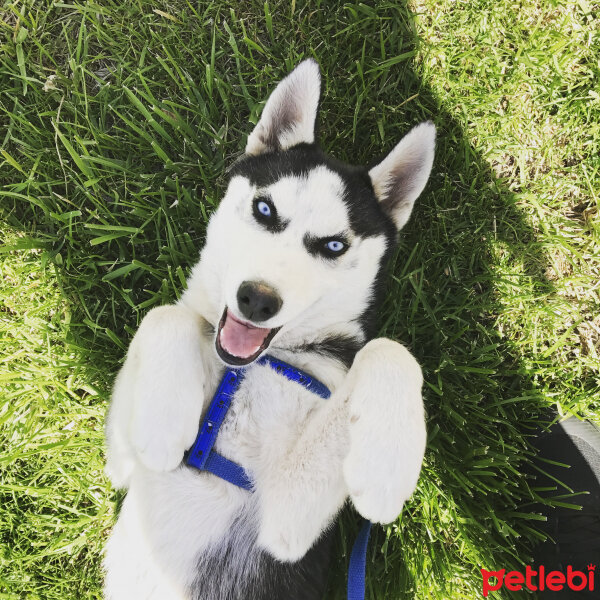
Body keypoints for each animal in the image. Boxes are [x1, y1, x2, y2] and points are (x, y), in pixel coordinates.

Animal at [102, 57, 432, 600]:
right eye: (264, 210)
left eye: (334, 246)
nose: (256, 299)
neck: (247, 371)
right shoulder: (121, 464)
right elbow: (166, 313)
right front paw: (162, 423)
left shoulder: (284, 528)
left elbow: (390, 349)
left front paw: (385, 468)